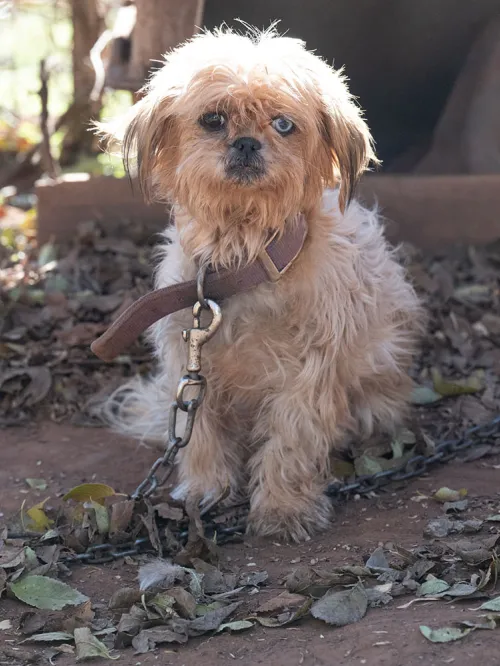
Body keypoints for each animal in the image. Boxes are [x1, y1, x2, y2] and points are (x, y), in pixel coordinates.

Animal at [96, 26, 422, 544]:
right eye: (213, 120)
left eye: (284, 125)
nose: (247, 143)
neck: (243, 259)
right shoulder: (191, 364)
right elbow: (200, 433)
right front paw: (205, 490)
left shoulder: (306, 376)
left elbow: (291, 441)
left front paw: (284, 509)